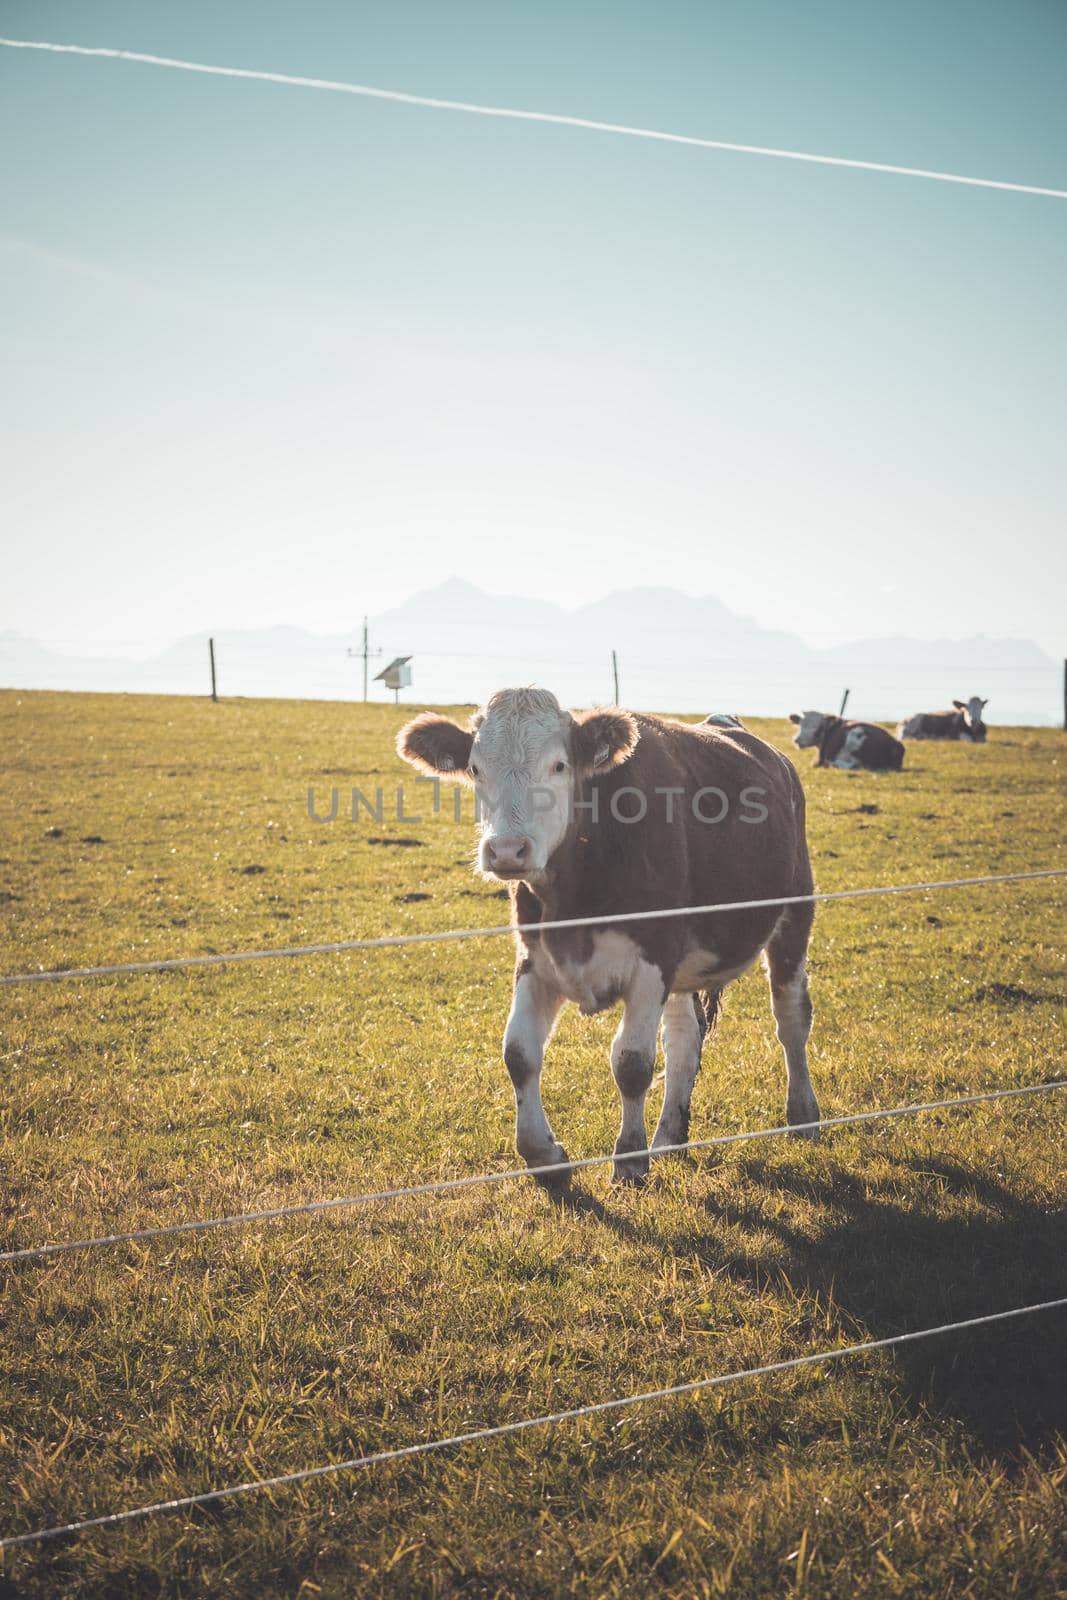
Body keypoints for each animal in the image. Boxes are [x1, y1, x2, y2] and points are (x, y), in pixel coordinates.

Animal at [396, 688, 825, 1190]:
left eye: (559, 765)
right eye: (476, 768)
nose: (506, 851)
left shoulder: (653, 958)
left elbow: (632, 1062)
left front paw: (629, 1159)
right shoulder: (537, 958)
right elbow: (519, 1053)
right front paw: (544, 1155)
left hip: (794, 915)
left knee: (791, 1018)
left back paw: (803, 1115)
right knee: (684, 1040)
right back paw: (669, 1137)